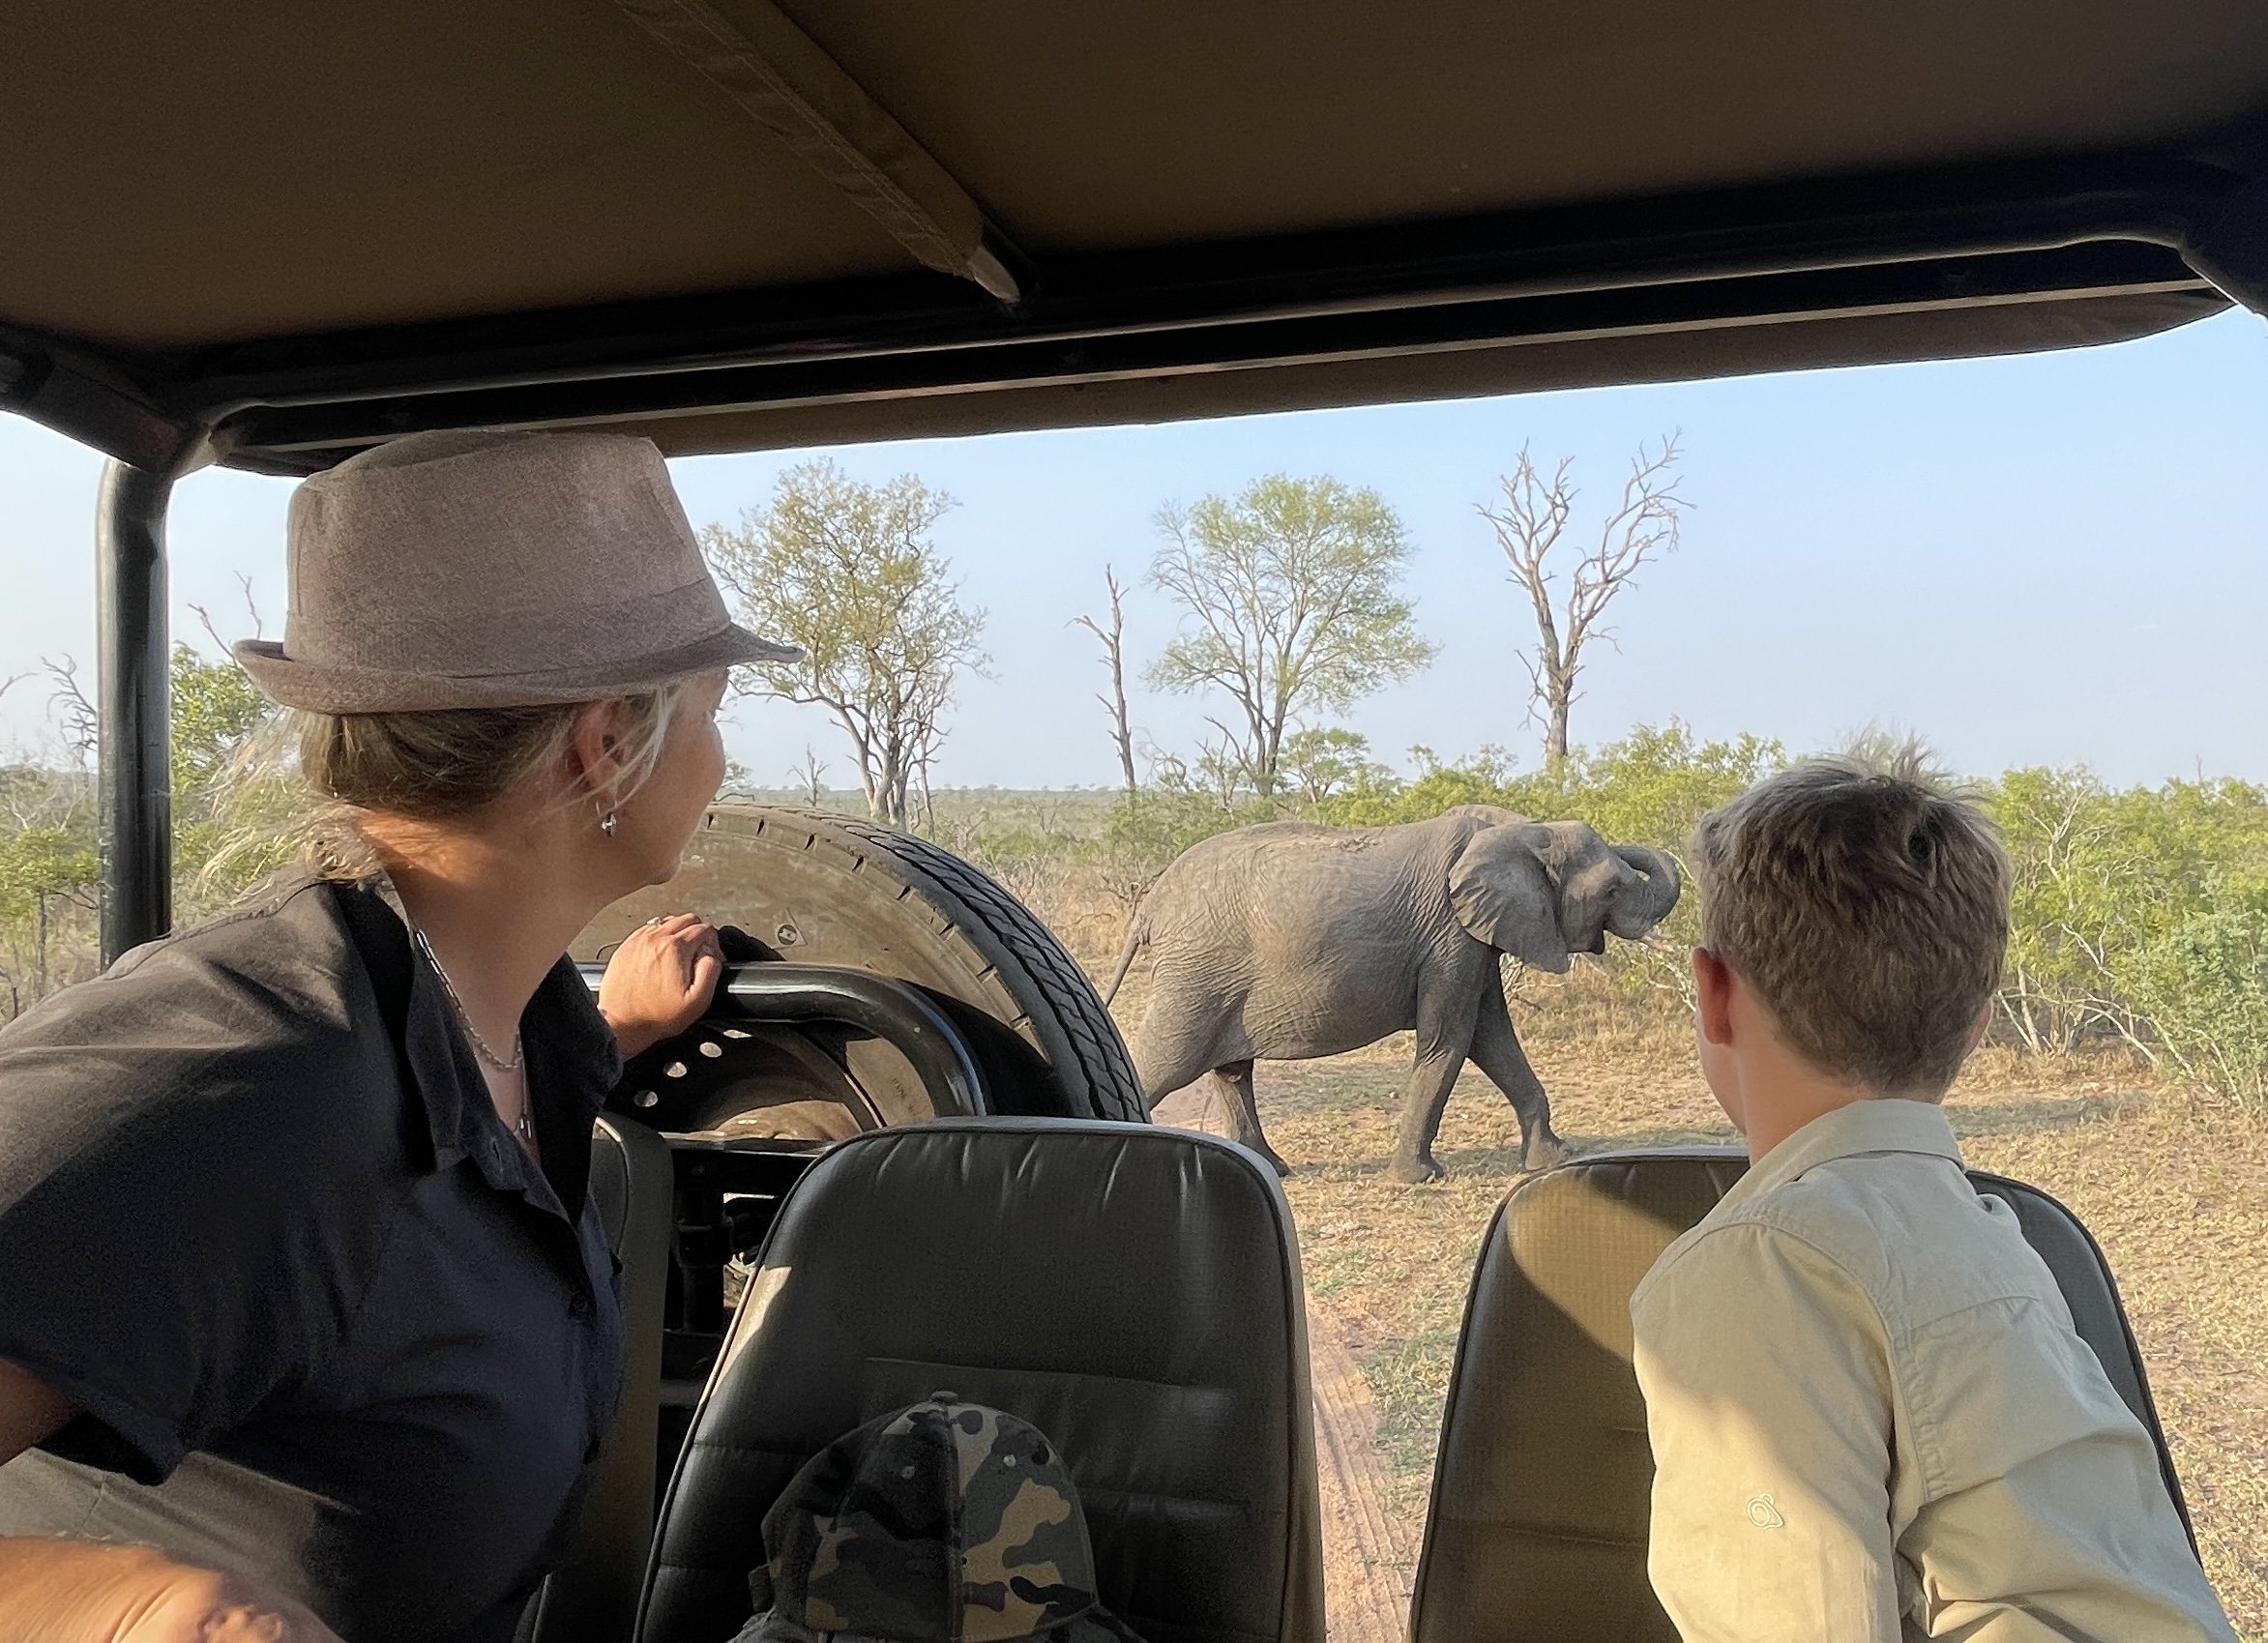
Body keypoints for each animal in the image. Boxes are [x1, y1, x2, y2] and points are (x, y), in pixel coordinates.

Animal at [1106, 802, 1678, 1178]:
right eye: (1612, 889)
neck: (1525, 831)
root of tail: (1148, 905)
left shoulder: (1473, 937)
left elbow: (1491, 1036)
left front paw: (1555, 1160)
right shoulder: (1450, 933)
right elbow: (1452, 1039)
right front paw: (1419, 1179)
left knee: (1230, 1071)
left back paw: (1274, 1169)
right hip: (1196, 973)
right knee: (1167, 1060)